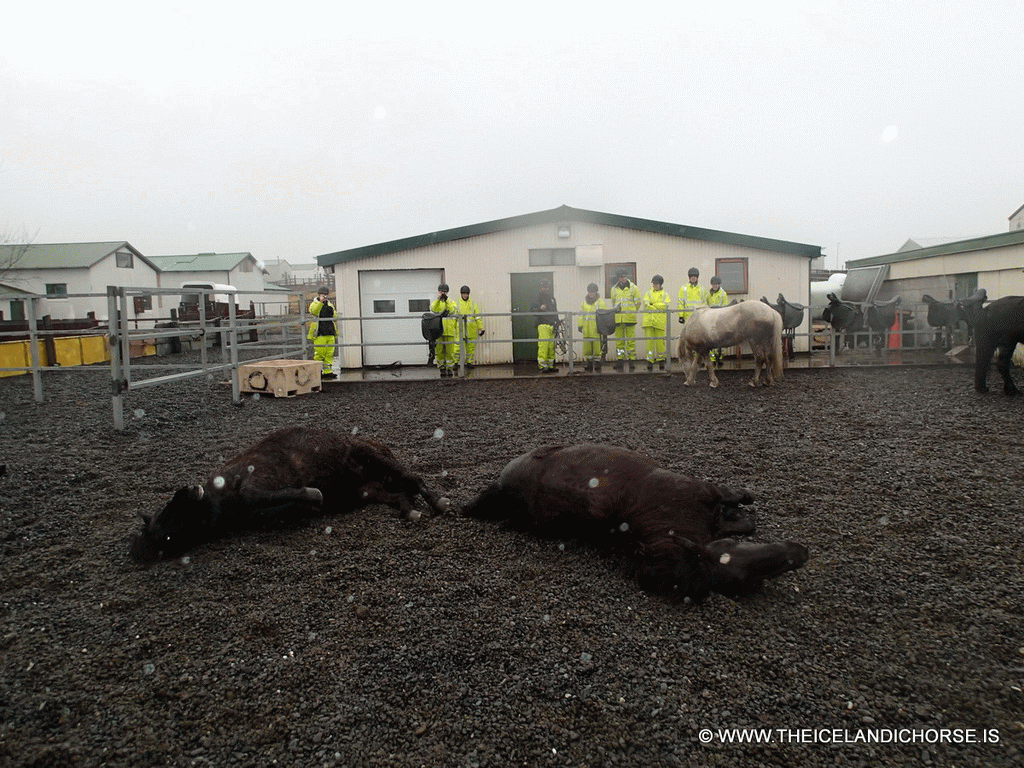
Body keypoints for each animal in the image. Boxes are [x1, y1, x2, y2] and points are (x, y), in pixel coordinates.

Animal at [129, 423, 448, 561]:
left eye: (172, 511)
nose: (186, 492)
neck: (223, 497)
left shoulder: (256, 481)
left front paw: (314, 495)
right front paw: (312, 502)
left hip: (376, 459)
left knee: (414, 478)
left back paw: (438, 502)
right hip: (369, 491)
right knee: (400, 495)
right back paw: (410, 510)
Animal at [462, 444, 806, 602]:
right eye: (734, 572)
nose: (799, 552)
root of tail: (504, 489)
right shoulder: (706, 493)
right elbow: (735, 506)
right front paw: (742, 508)